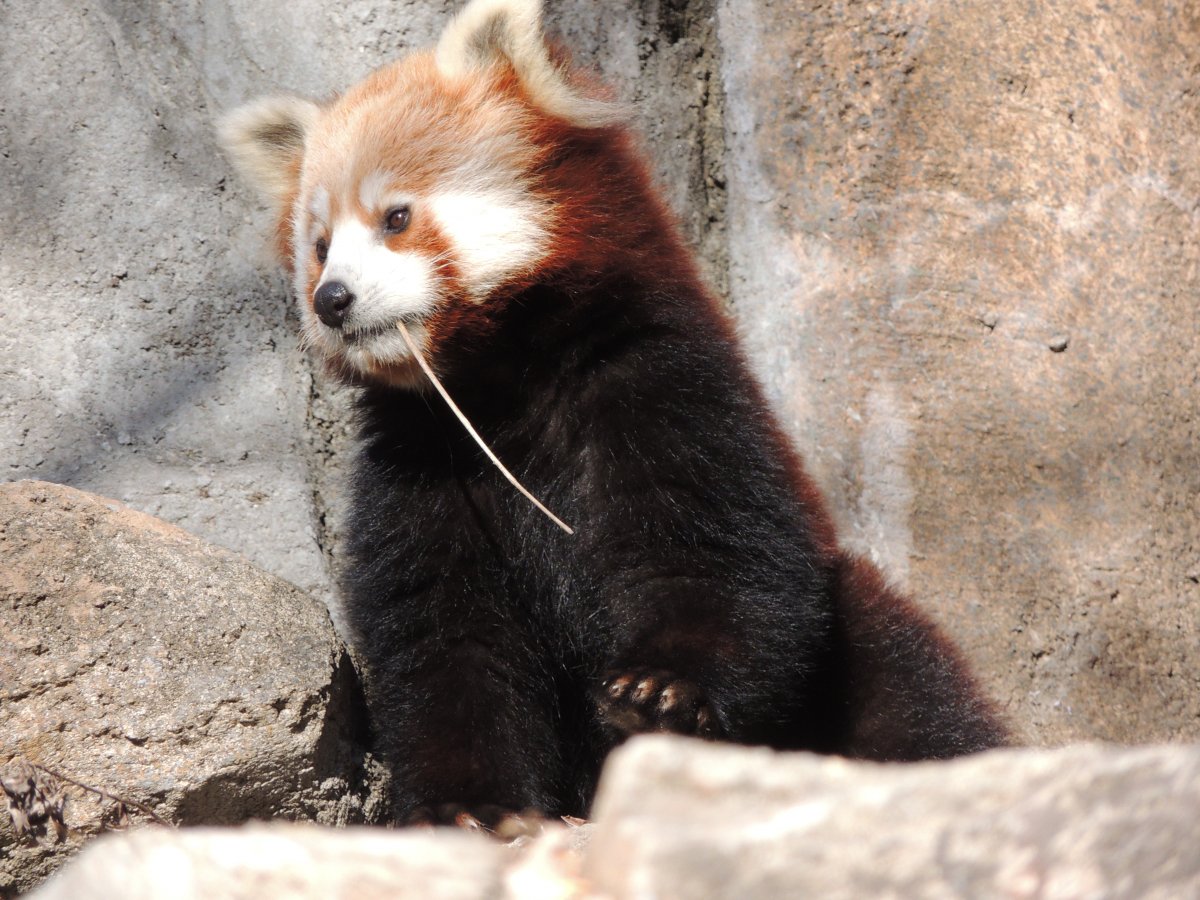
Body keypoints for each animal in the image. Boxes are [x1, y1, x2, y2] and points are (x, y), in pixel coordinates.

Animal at [218, 0, 1003, 830]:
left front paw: (660, 691)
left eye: (396, 217)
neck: (504, 380)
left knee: (905, 681)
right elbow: (442, 633)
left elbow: (711, 553)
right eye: (320, 245)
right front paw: (462, 803)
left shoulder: (659, 388)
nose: (331, 301)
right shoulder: (423, 462)